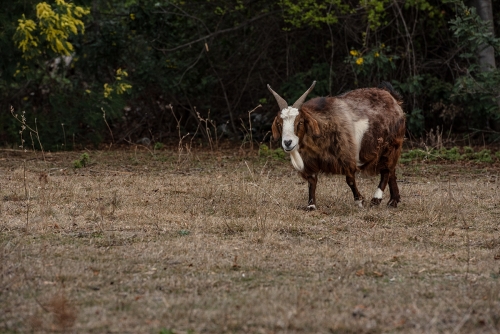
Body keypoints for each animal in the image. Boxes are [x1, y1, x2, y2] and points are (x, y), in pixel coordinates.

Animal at [268, 80, 404, 209]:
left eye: (300, 122)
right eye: (279, 124)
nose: (287, 142)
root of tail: (392, 97)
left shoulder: (346, 156)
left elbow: (350, 180)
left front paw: (359, 201)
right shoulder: (311, 161)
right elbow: (312, 181)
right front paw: (311, 205)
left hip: (390, 144)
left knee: (386, 170)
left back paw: (376, 199)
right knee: (391, 170)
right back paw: (393, 201)